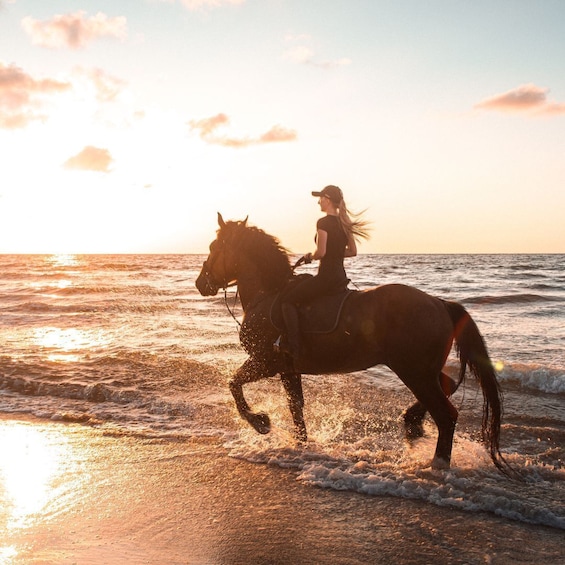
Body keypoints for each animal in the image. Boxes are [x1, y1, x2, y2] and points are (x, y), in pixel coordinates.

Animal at [197, 214, 512, 474]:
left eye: (214, 247)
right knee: (448, 384)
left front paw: (261, 422)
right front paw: (301, 445)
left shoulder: (265, 362)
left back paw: (437, 464)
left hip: (414, 372)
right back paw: (412, 425)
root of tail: (440, 303)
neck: (268, 293)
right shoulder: (288, 369)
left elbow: (234, 385)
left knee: (446, 415)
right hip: (425, 371)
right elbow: (296, 408)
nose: (202, 283)